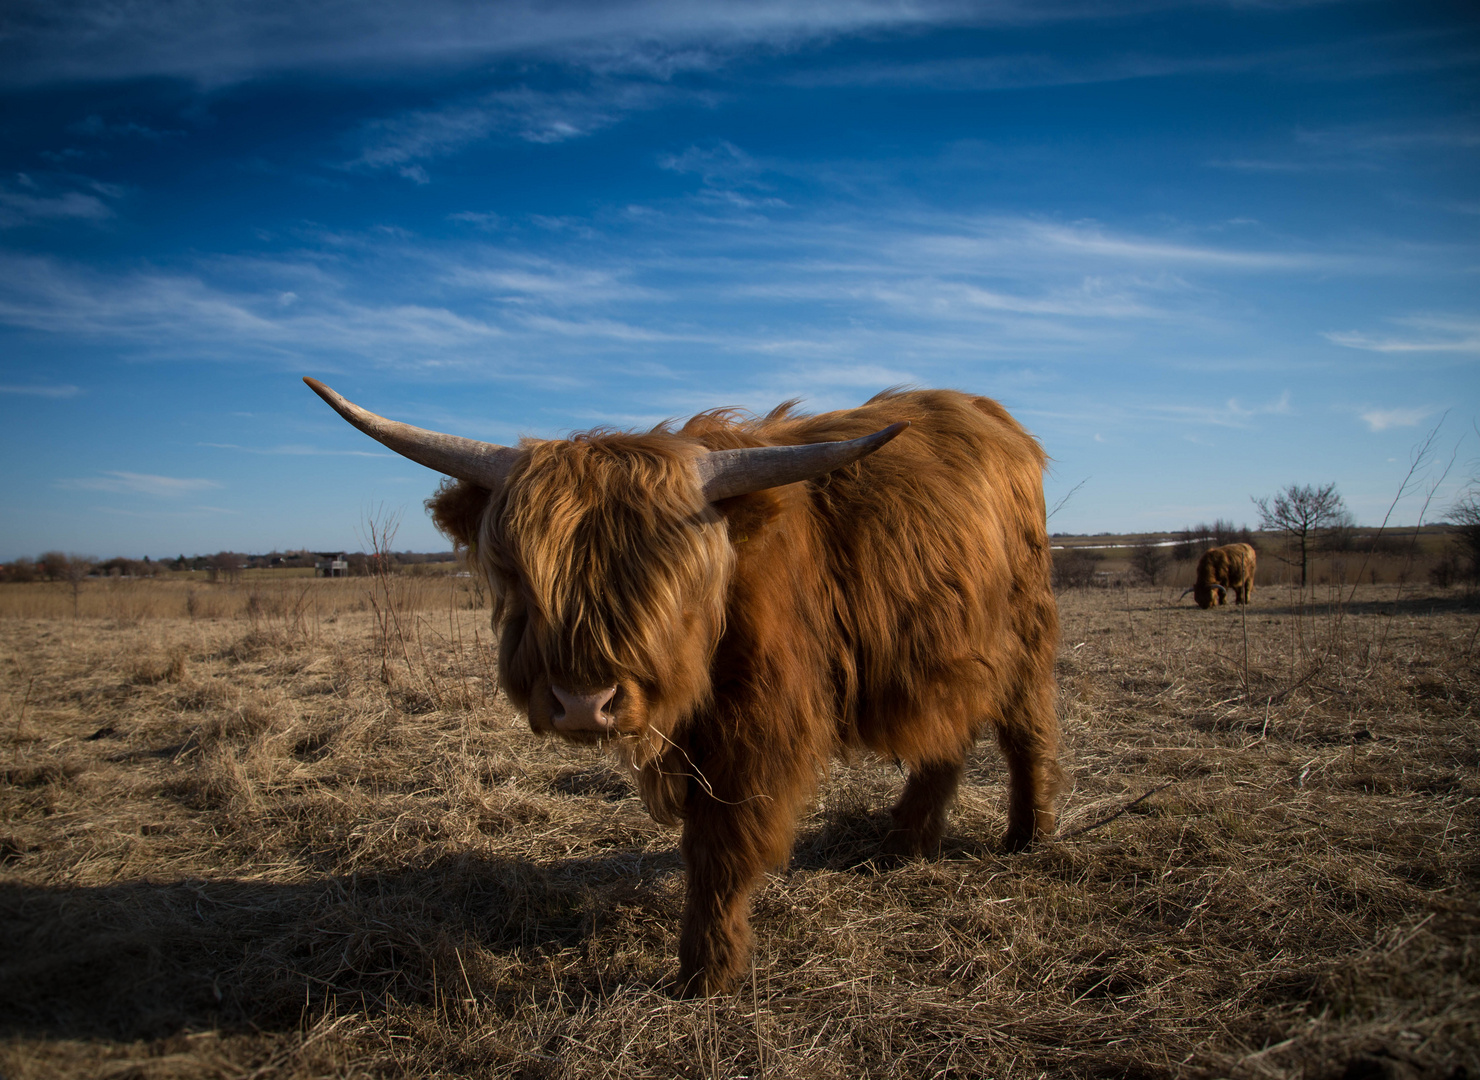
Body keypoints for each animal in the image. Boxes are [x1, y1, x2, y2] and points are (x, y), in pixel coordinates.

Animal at [303, 378, 1065, 994]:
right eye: (518, 574)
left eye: (665, 579)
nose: (583, 705)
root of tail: (993, 417)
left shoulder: (753, 729)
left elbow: (720, 847)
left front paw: (705, 973)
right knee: (946, 736)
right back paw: (906, 842)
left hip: (1025, 632)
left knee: (1026, 730)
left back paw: (1028, 835)